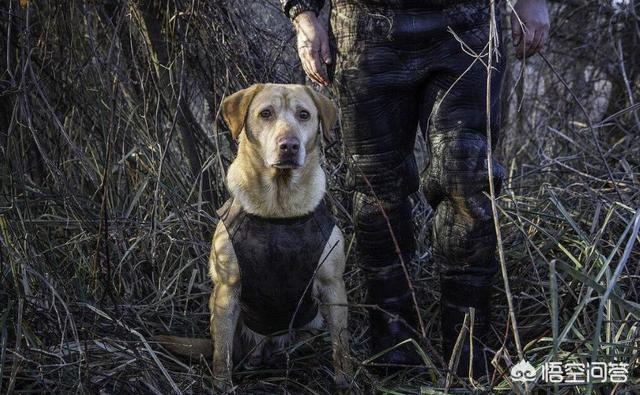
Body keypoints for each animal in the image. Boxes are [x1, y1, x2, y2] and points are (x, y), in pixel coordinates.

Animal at [158, 83, 352, 390]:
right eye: (266, 113)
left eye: (304, 114)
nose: (289, 145)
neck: (279, 210)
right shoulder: (227, 289)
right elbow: (222, 357)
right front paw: (222, 387)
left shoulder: (333, 286)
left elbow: (341, 347)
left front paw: (345, 382)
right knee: (222, 348)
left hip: (310, 324)